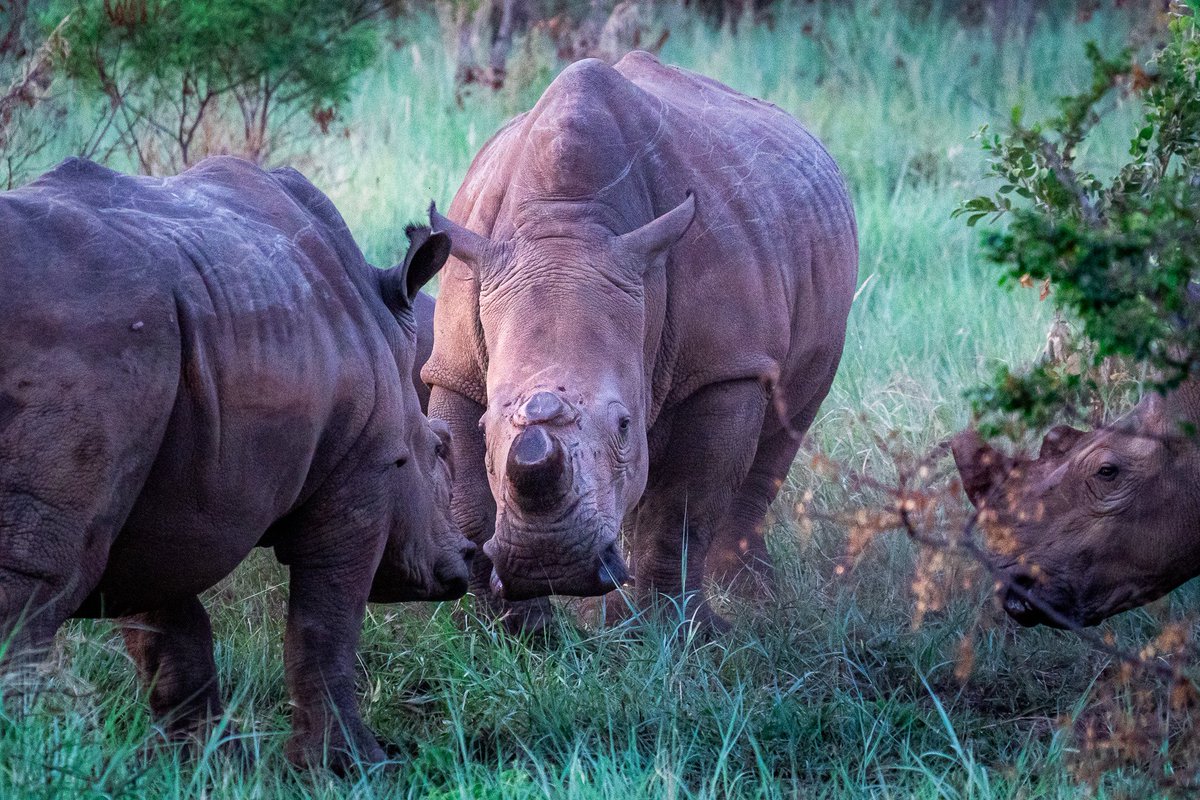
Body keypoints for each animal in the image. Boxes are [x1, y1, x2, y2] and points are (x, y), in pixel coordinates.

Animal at [0, 155, 475, 767]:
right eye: (438, 449)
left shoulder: (163, 499)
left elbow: (171, 630)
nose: (467, 560)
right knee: (35, 591)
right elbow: (326, 622)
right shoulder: (361, 475)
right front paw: (352, 764)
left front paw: (197, 762)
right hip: (82, 335)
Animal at [427, 53, 859, 633]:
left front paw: (678, 633)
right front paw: (520, 633)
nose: (550, 563)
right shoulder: (454, 366)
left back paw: (749, 597)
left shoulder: (724, 366)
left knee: (785, 428)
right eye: (486, 426)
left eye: (624, 424)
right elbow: (469, 505)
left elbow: (683, 505)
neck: (567, 227)